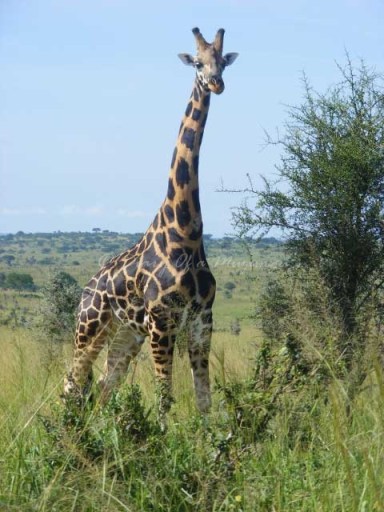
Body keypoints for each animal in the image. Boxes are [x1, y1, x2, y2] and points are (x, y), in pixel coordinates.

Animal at [64, 27, 238, 420]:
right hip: (89, 327)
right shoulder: (162, 321)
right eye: (198, 63)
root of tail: (87, 288)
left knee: (103, 385)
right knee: (71, 383)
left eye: (222, 62)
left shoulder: (201, 319)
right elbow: (165, 399)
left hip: (126, 333)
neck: (186, 232)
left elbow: (203, 401)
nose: (216, 83)